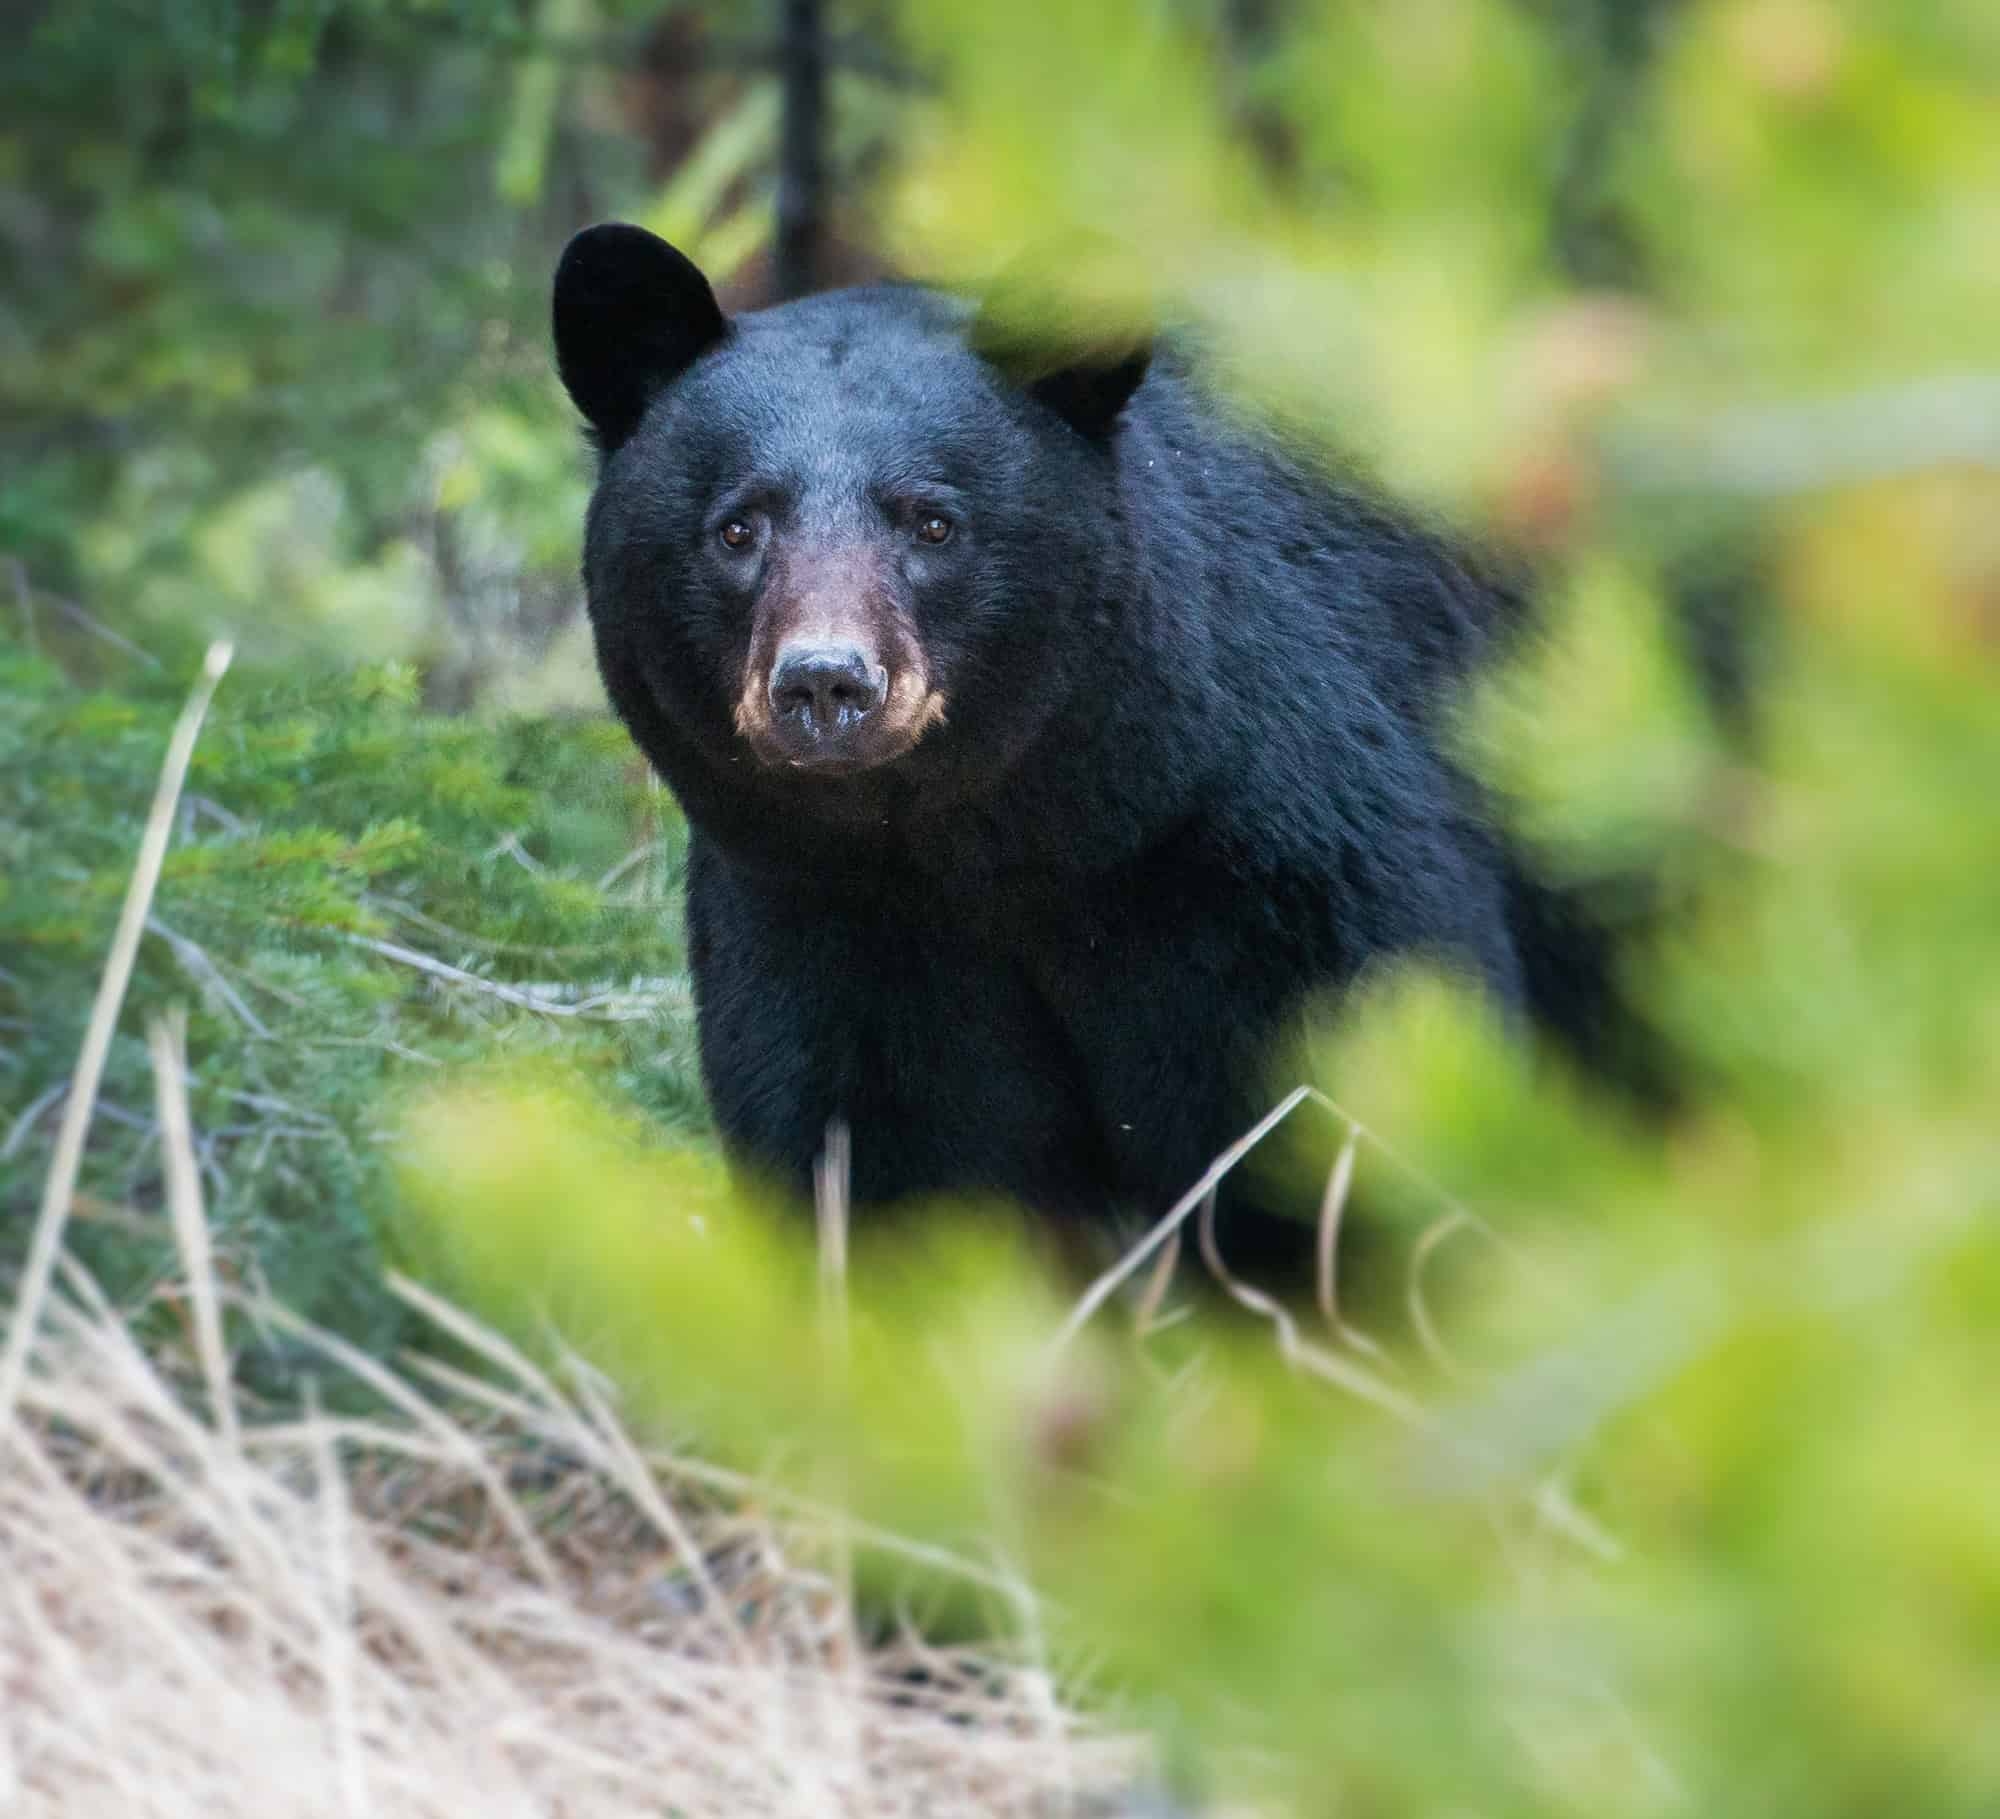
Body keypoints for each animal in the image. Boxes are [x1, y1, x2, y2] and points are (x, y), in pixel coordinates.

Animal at [551, 222, 1617, 1270]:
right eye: (738, 528)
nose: (826, 682)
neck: (1011, 845)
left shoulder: (1284, 865)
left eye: (933, 521)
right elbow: (880, 1161)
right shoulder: (824, 918)